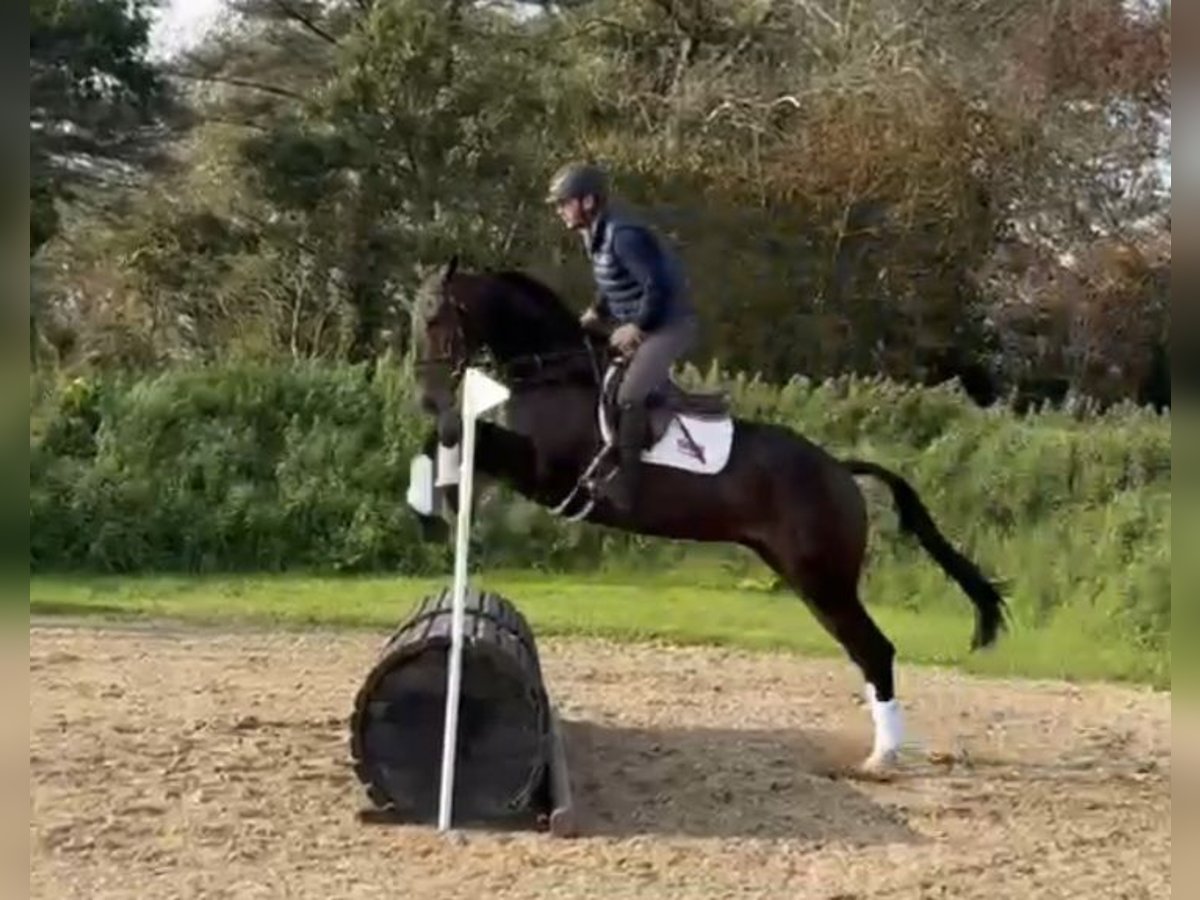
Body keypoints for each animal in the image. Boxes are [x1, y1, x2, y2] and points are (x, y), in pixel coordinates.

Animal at [409, 255, 1007, 775]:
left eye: (436, 317)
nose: (427, 395)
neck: (553, 373)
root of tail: (840, 469)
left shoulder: (544, 473)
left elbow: (466, 437)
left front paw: (440, 500)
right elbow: (459, 441)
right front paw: (445, 499)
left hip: (822, 578)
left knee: (875, 648)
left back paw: (881, 757)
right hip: (802, 573)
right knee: (864, 649)